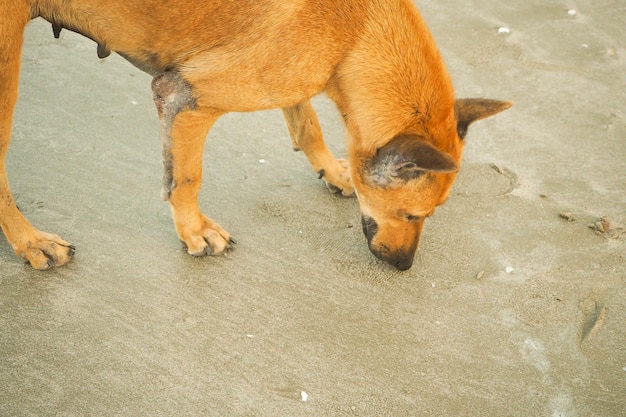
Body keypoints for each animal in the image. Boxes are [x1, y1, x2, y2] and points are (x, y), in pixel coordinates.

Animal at [0, 0, 510, 270]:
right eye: (411, 215)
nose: (404, 266)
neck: (358, 35)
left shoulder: (292, 79)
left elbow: (307, 125)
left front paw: (334, 171)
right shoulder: (187, 99)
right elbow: (186, 178)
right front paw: (194, 231)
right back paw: (30, 241)